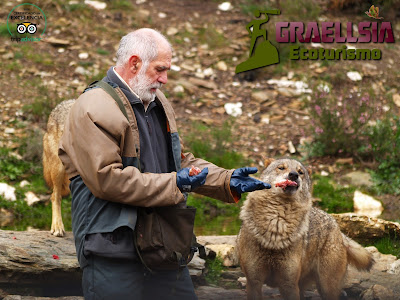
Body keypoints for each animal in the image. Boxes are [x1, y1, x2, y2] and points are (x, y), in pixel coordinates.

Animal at [236, 158, 374, 298]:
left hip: (326, 288)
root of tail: (338, 228)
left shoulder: (289, 284)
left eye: (300, 172)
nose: (293, 175)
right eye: (281, 168)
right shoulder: (254, 282)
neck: (275, 231)